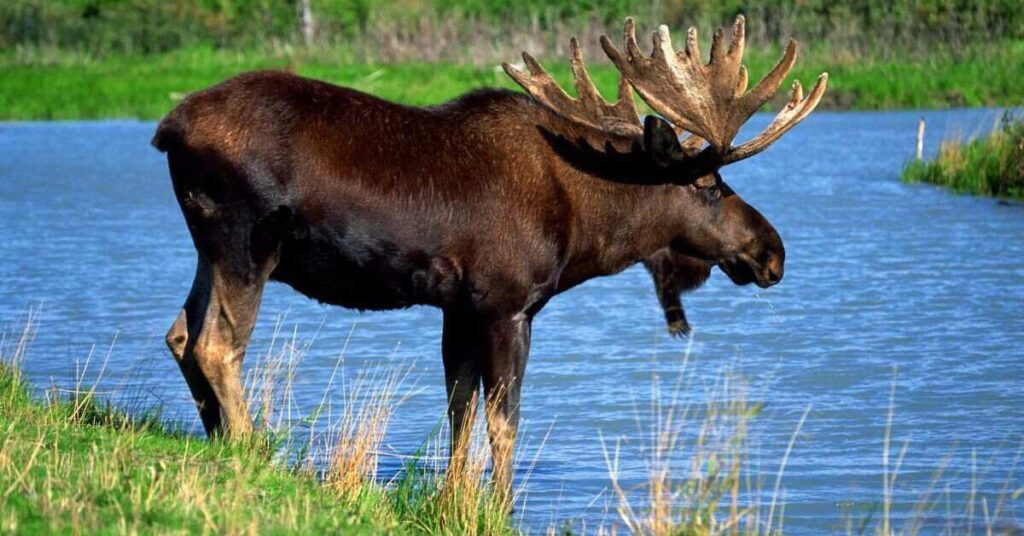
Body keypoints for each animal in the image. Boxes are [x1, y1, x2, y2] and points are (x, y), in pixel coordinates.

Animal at [151, 17, 823, 504]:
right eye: (709, 184)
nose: (773, 252)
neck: (587, 224)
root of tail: (166, 128)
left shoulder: (459, 307)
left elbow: (460, 412)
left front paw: (454, 500)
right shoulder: (507, 304)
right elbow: (504, 420)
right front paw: (501, 506)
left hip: (209, 248)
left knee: (181, 332)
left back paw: (219, 444)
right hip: (247, 242)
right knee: (217, 344)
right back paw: (250, 453)